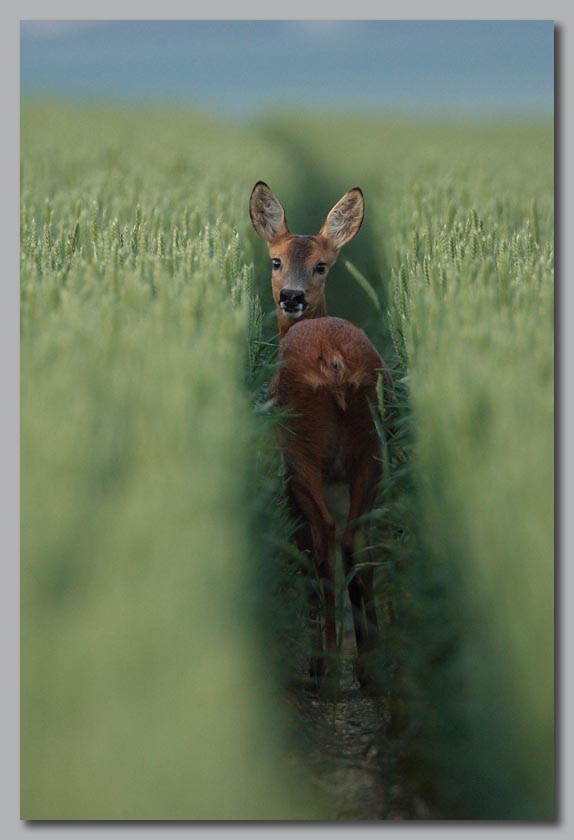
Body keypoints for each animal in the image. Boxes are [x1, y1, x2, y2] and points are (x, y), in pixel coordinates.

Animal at [252, 180, 396, 684]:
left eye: (321, 265)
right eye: (276, 261)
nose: (291, 297)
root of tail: (333, 362)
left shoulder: (289, 481)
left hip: (301, 451)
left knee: (325, 541)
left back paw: (325, 665)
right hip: (371, 446)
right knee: (355, 537)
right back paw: (368, 662)